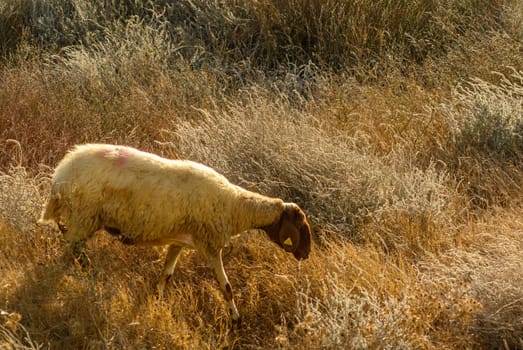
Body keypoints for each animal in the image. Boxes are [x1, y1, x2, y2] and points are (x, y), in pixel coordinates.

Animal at [41, 143, 314, 322]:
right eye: (300, 226)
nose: (306, 254)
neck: (235, 206)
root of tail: (61, 172)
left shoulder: (179, 242)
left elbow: (167, 275)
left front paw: (157, 301)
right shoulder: (210, 246)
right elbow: (226, 287)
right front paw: (236, 320)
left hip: (83, 219)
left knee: (74, 252)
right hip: (84, 216)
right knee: (70, 253)